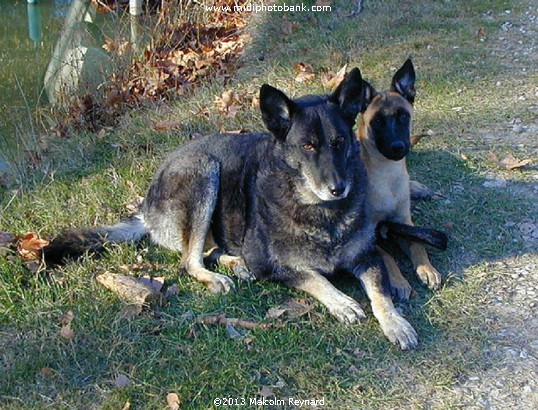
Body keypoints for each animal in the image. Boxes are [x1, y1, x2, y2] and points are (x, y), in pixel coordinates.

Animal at [44, 69, 416, 350]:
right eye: (308, 146)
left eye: (339, 142)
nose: (339, 188)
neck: (321, 211)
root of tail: (146, 205)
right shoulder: (272, 265)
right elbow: (314, 277)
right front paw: (342, 302)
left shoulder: (366, 256)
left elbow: (380, 292)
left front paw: (396, 323)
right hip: (202, 172)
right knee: (188, 260)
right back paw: (220, 275)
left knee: (207, 249)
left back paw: (235, 264)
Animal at [356, 59, 440, 300]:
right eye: (377, 122)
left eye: (403, 116)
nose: (398, 147)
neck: (387, 174)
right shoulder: (368, 235)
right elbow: (387, 256)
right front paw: (399, 281)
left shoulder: (404, 221)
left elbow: (417, 243)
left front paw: (427, 269)